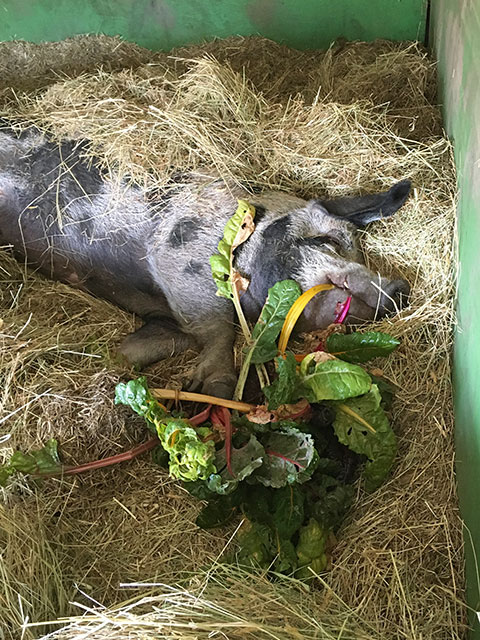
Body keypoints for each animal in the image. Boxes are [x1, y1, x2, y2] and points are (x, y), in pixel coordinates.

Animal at [0, 122, 410, 398]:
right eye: (327, 240)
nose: (399, 287)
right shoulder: (180, 251)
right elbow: (219, 328)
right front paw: (214, 390)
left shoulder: (168, 320)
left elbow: (142, 349)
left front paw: (112, 360)